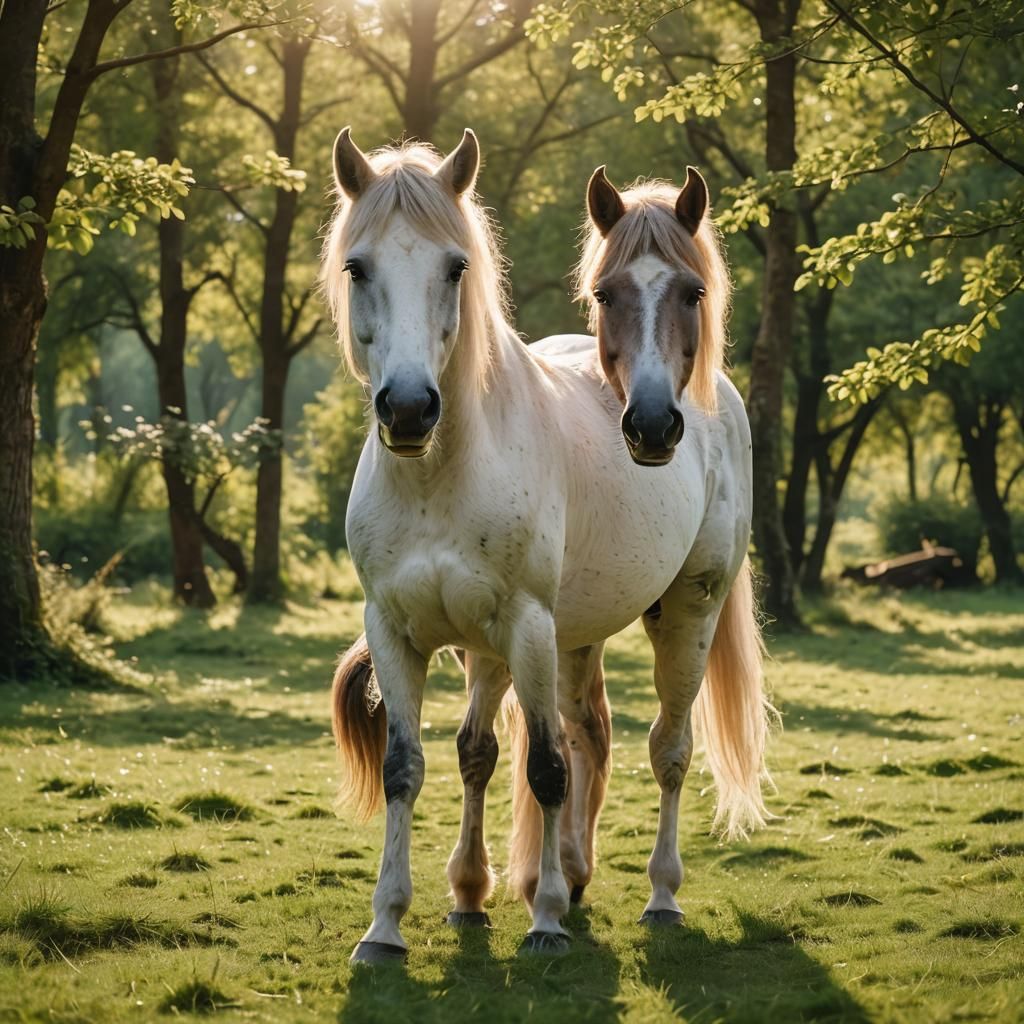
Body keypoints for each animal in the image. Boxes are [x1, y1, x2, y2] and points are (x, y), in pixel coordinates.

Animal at [322, 127, 773, 963]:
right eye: (357, 266)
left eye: (456, 267)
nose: (409, 409)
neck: (439, 476)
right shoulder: (401, 631)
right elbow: (419, 765)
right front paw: (395, 922)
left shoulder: (524, 627)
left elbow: (546, 767)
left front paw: (547, 921)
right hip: (564, 637)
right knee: (583, 732)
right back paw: (555, 874)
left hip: (684, 613)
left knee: (666, 749)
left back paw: (658, 895)